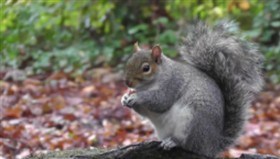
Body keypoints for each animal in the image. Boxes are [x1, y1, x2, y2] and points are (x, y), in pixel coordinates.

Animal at [121, 21, 264, 157]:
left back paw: (173, 141)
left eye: (146, 68)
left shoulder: (172, 84)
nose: (127, 82)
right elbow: (145, 112)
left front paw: (136, 97)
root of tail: (212, 146)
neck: (148, 85)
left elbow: (161, 101)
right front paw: (125, 98)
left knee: (188, 144)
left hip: (193, 122)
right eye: (128, 62)